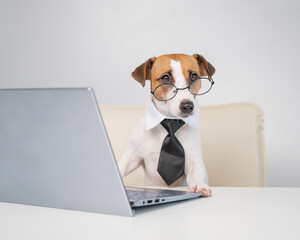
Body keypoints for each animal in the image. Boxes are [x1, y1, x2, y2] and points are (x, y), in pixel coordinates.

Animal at [118, 53, 214, 196]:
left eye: (193, 76)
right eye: (165, 78)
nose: (187, 106)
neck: (170, 122)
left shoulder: (193, 159)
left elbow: (196, 172)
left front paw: (198, 185)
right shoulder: (132, 155)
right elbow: (121, 166)